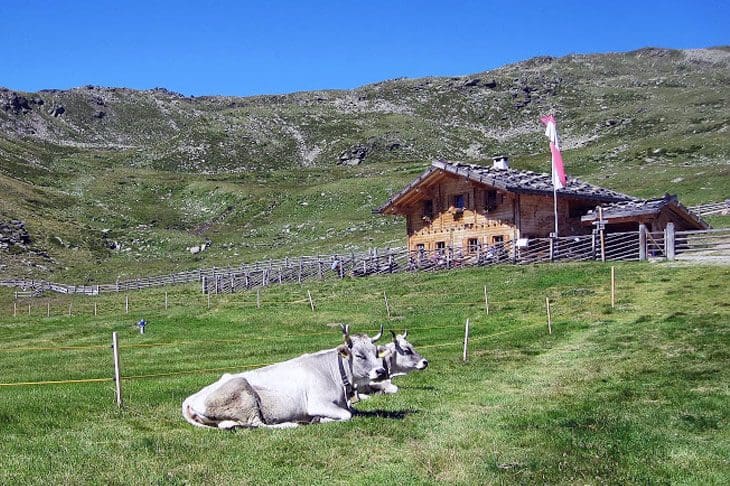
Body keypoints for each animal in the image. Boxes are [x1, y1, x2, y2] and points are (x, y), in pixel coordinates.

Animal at [182, 324, 384, 428]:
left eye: (375, 352)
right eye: (359, 355)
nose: (381, 371)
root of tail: (190, 399)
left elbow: (352, 411)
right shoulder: (318, 403)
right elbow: (346, 415)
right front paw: (321, 419)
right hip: (243, 393)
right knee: (258, 423)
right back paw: (292, 424)